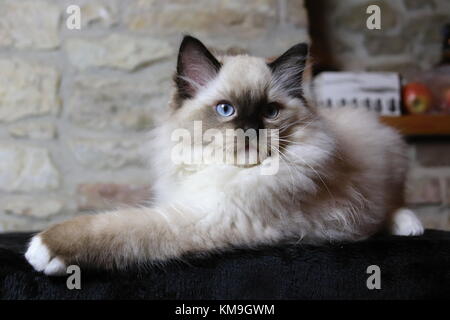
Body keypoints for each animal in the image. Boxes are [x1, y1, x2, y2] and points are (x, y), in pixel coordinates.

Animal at [24, 35, 424, 276]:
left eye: (270, 112)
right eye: (226, 110)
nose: (251, 130)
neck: (220, 170)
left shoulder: (208, 217)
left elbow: (120, 228)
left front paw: (43, 248)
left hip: (392, 164)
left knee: (393, 207)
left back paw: (412, 227)